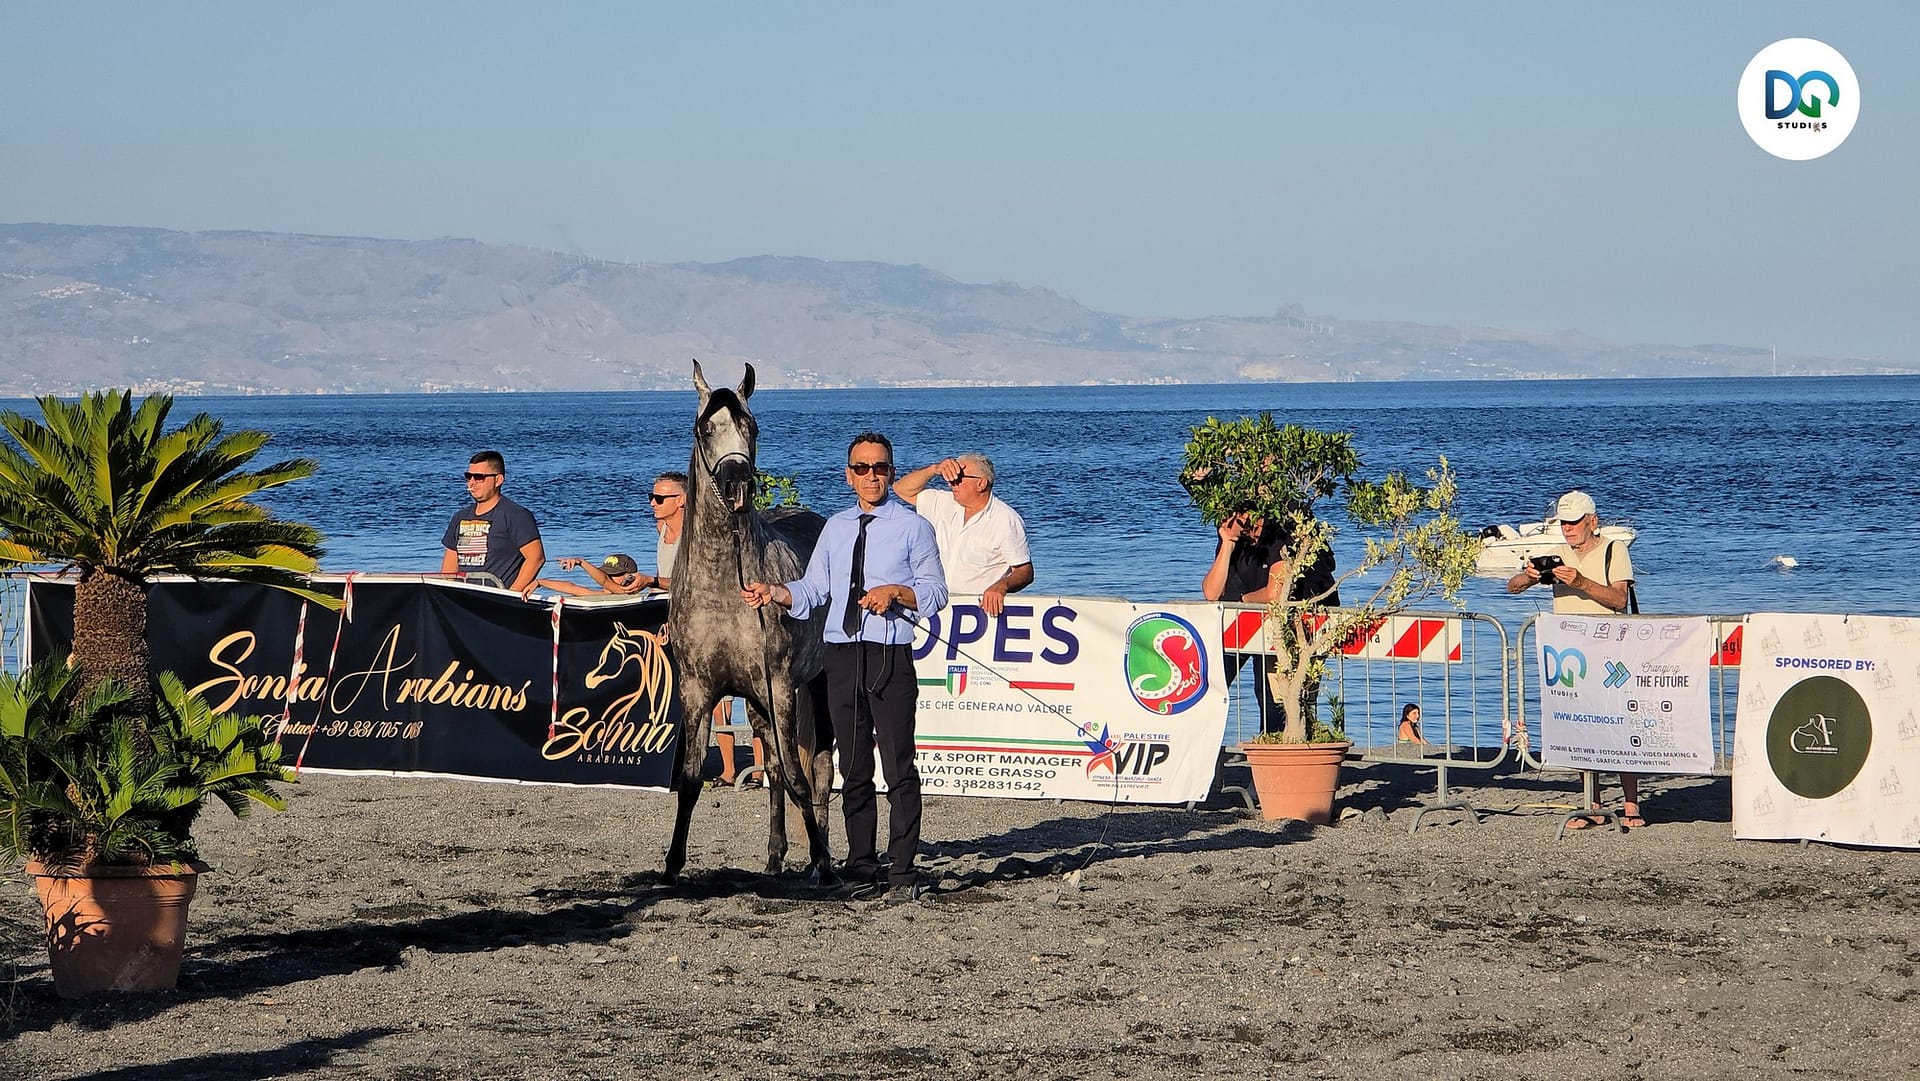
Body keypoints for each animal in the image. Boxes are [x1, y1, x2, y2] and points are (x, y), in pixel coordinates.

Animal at [662, 360, 836, 885]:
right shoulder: (697, 692)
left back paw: (822, 859)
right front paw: (672, 866)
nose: (738, 485)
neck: (725, 589)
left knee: (819, 767)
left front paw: (823, 862)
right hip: (759, 705)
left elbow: (800, 776)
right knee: (776, 769)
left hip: (814, 684)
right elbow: (691, 778)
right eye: (705, 428)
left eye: (751, 426)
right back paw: (776, 857)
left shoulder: (780, 686)